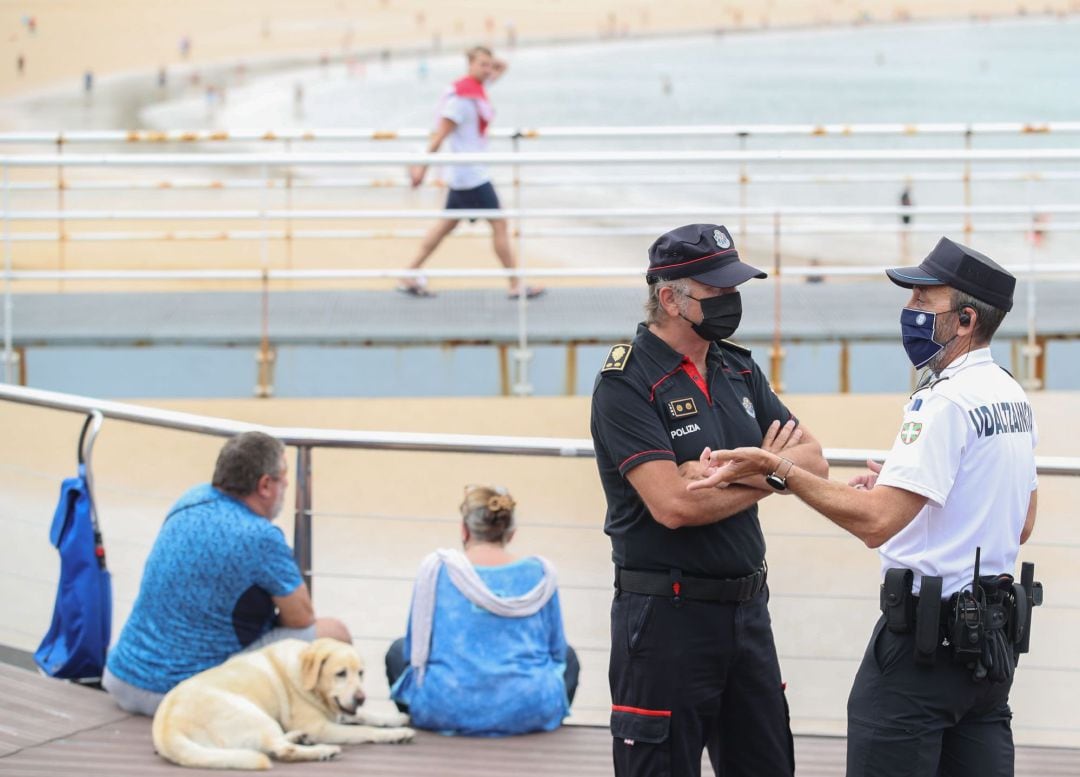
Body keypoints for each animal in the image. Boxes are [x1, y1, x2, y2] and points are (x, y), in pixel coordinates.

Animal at [154, 639, 414, 773]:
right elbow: (365, 729)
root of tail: (167, 729)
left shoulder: (339, 713)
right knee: (280, 750)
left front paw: (396, 722)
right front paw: (394, 734)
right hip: (254, 714)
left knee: (276, 744)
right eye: (341, 674)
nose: (361, 697)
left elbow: (367, 716)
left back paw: (300, 737)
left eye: (360, 673)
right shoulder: (322, 727)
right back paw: (322, 750)